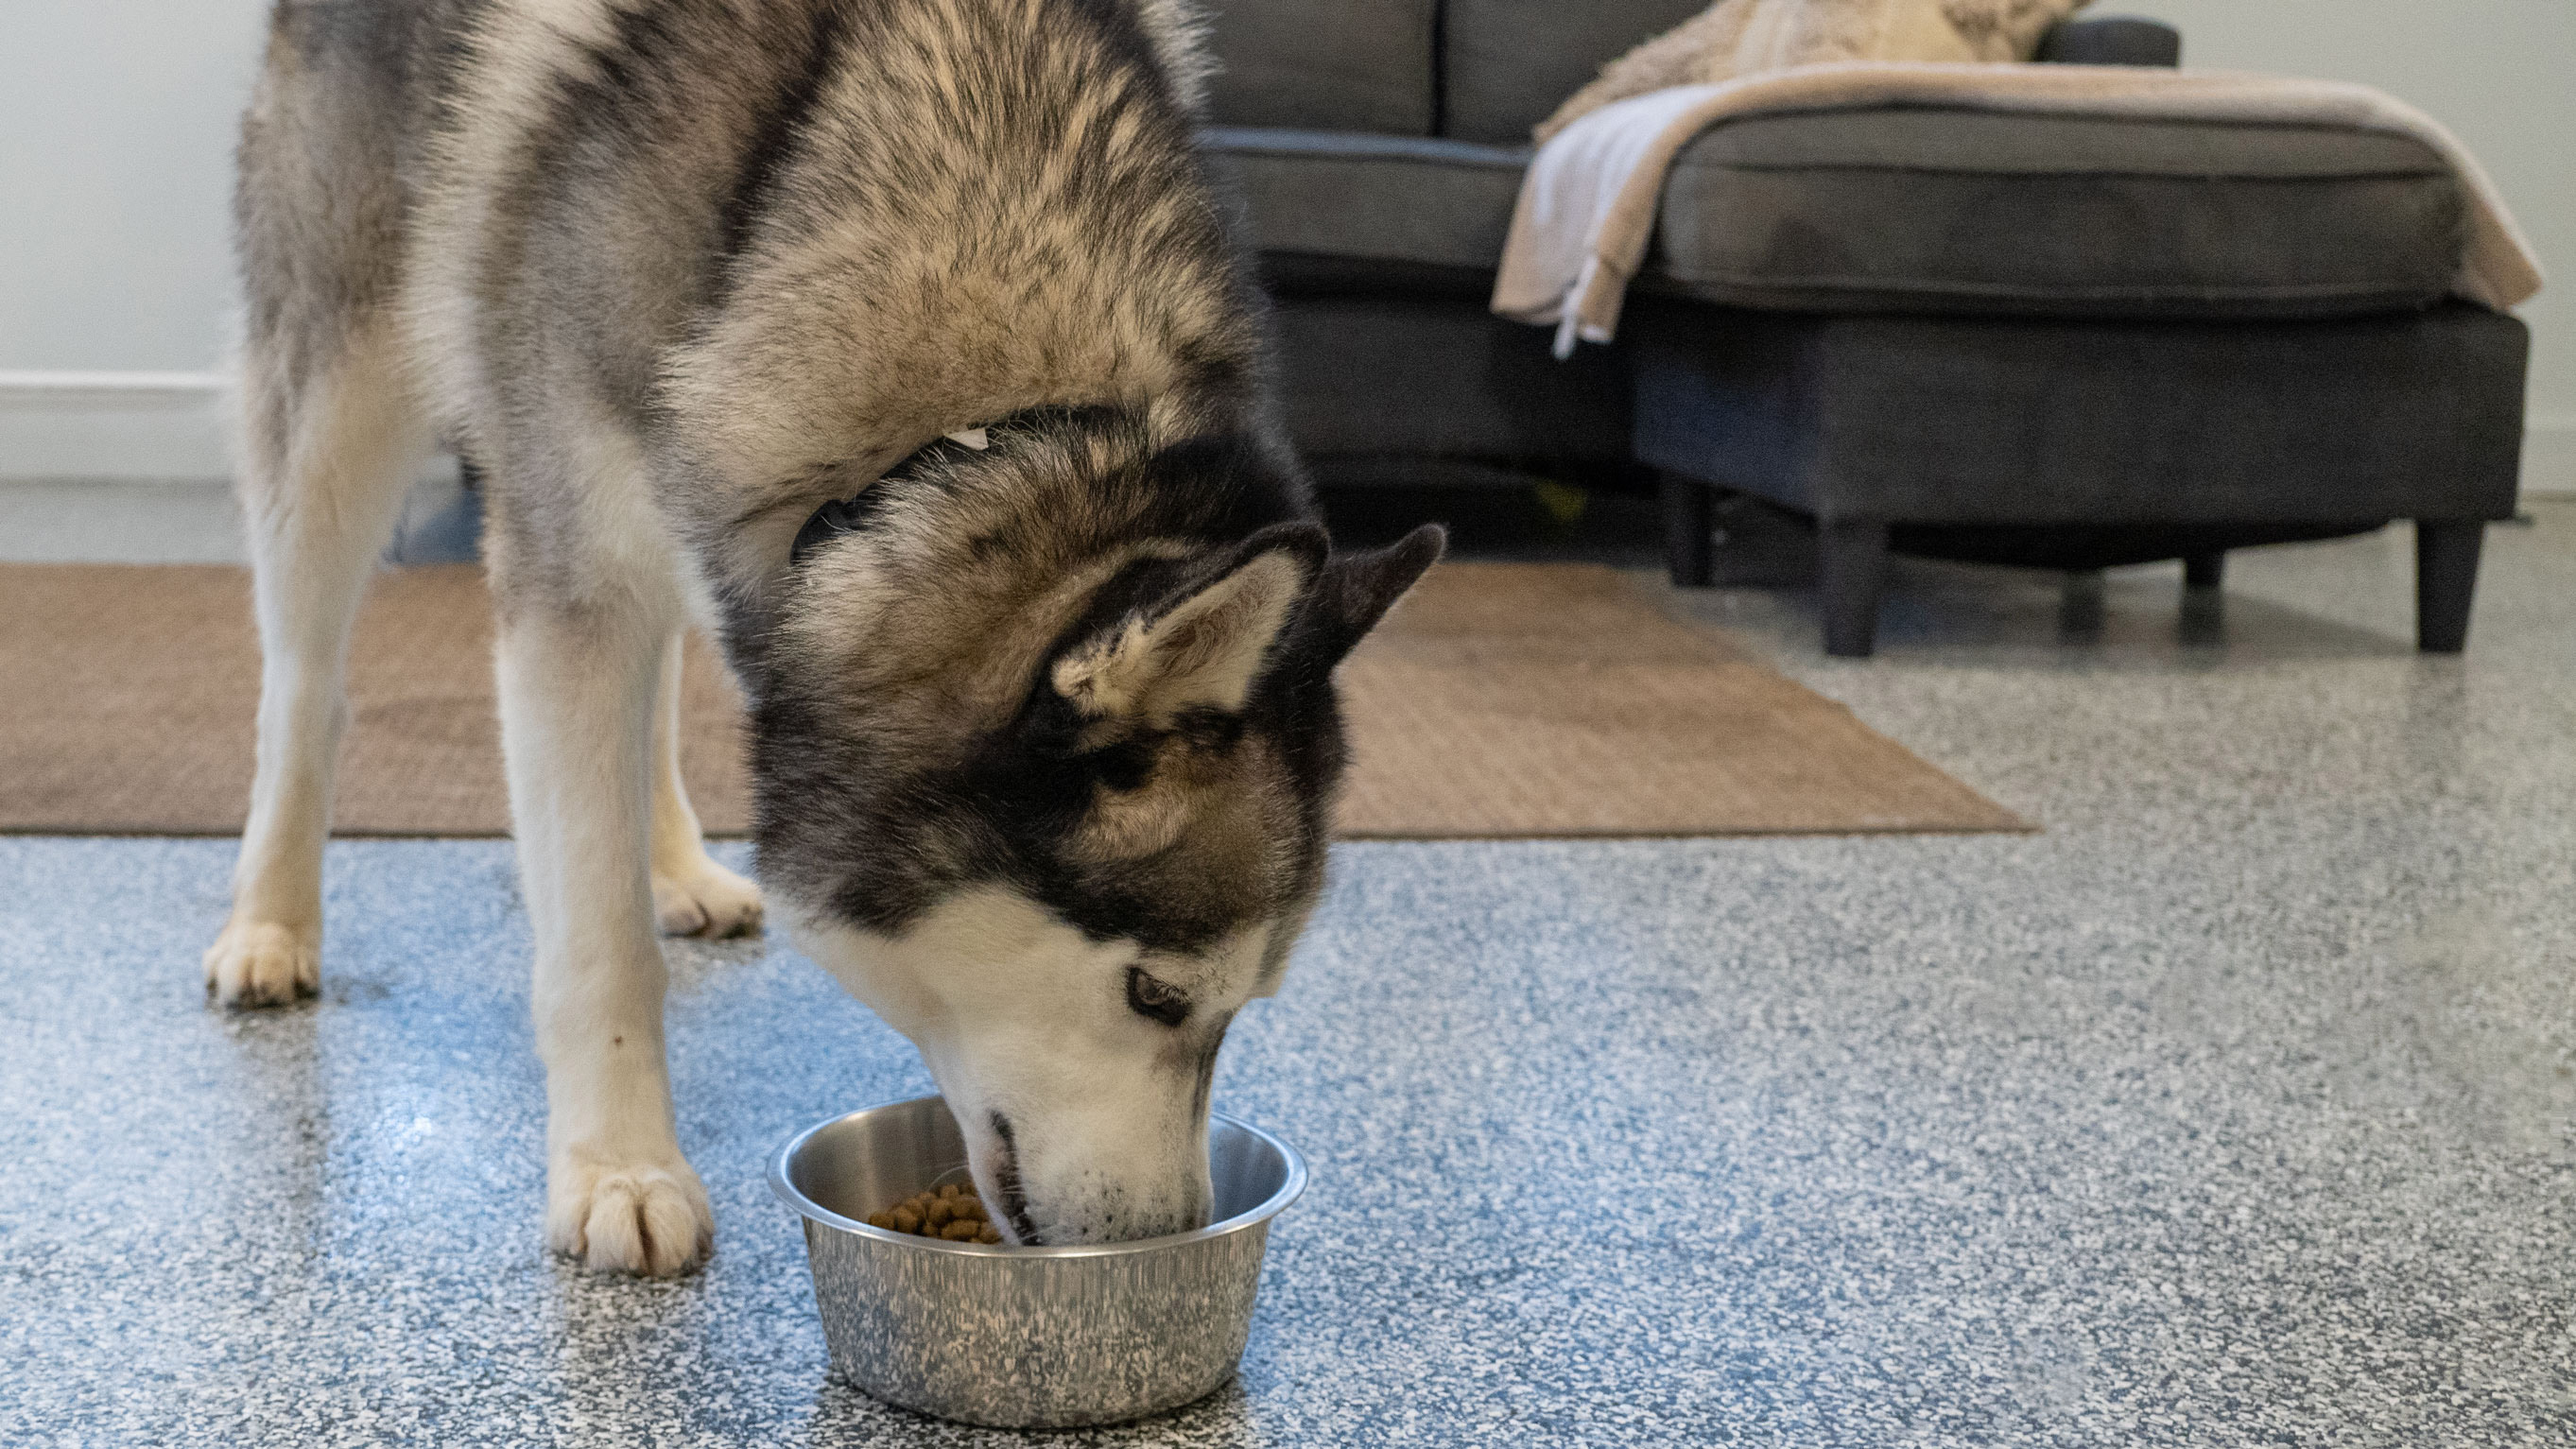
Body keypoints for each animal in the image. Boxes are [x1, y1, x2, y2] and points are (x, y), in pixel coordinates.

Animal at [211, 0, 1443, 1271]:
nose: (1173, 1237)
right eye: (1155, 995)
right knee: (305, 683)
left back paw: (677, 865)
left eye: (1246, 1003)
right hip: (341, 393)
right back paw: (270, 923)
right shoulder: (569, 587)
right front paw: (621, 1171)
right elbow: (597, 936)